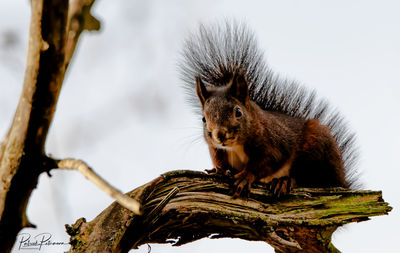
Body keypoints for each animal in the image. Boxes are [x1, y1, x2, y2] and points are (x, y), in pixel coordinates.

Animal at [180, 20, 358, 197]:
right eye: (203, 119)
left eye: (238, 112)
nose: (220, 134)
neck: (236, 146)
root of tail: (343, 180)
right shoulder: (217, 149)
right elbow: (221, 162)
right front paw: (219, 170)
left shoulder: (273, 143)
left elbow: (266, 163)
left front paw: (245, 176)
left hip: (317, 146)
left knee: (310, 178)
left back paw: (284, 181)